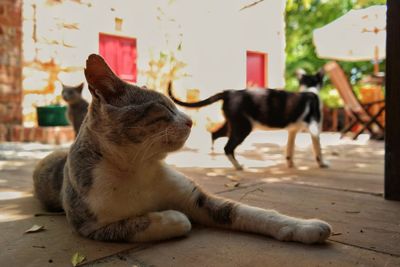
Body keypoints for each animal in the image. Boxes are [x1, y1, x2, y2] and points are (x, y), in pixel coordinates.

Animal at [168, 70, 328, 171]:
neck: (310, 90)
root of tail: (230, 92)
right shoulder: (315, 129)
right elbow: (318, 150)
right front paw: (323, 164)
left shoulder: (292, 131)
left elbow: (290, 148)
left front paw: (291, 164)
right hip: (243, 127)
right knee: (227, 147)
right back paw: (238, 167)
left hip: (232, 125)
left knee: (215, 134)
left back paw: (214, 153)